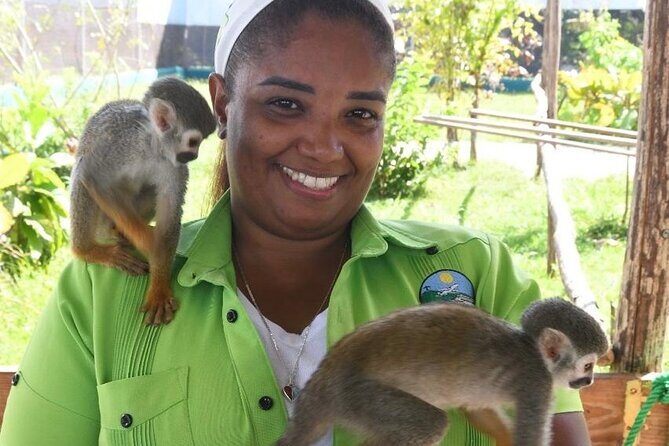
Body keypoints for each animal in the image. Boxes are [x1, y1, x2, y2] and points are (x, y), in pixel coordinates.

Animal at [70, 77, 217, 325]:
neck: (151, 148)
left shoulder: (173, 166)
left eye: (200, 143)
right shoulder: (120, 145)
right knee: (82, 176)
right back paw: (87, 250)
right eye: (193, 141)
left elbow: (170, 215)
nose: (194, 156)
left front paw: (159, 287)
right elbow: (93, 175)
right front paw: (150, 244)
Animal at [277, 297, 609, 446]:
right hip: (357, 397)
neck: (534, 352)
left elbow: (478, 409)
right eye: (588, 365)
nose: (589, 380)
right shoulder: (536, 384)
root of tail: (322, 380)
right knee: (429, 424)